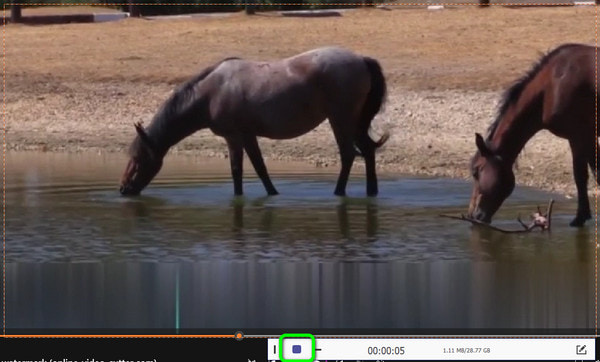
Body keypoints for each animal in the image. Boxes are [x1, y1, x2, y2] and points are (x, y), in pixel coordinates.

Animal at [118, 46, 390, 198]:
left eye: (139, 160)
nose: (123, 190)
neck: (210, 93)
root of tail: (361, 59)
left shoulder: (238, 136)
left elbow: (248, 169)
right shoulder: (241, 137)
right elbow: (248, 169)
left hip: (340, 120)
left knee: (348, 155)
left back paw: (339, 192)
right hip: (354, 122)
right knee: (367, 150)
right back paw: (371, 192)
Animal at [468, 43, 600, 226]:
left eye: (476, 171)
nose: (474, 216)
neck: (551, 85)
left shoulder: (578, 136)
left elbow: (581, 176)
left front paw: (579, 217)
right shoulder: (587, 136)